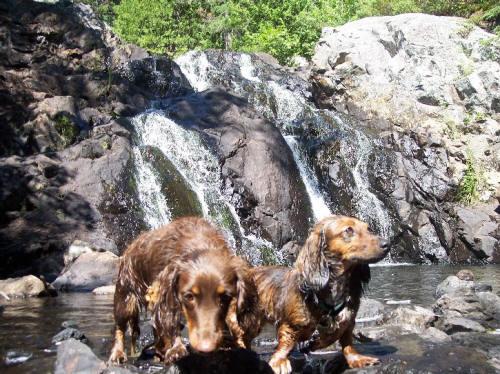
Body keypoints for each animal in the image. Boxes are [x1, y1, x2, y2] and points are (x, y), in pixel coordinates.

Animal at [109, 216, 258, 366]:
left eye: (225, 296)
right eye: (189, 296)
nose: (206, 348)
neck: (201, 245)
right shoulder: (162, 292)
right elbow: (171, 321)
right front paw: (176, 349)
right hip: (125, 298)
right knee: (120, 328)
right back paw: (118, 354)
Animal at [248, 216, 388, 374]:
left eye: (368, 228)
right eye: (348, 230)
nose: (387, 244)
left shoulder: (349, 320)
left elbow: (345, 341)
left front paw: (356, 358)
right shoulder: (289, 324)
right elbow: (286, 343)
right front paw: (279, 361)